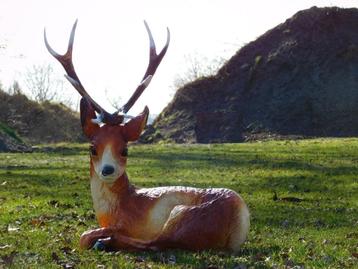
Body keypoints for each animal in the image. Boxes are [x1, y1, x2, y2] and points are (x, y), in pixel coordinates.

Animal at [44, 20, 249, 251]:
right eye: (92, 148)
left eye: (125, 149)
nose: (108, 170)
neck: (119, 206)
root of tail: (239, 214)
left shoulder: (127, 223)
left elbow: (85, 235)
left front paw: (102, 238)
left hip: (184, 216)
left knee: (157, 243)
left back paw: (105, 242)